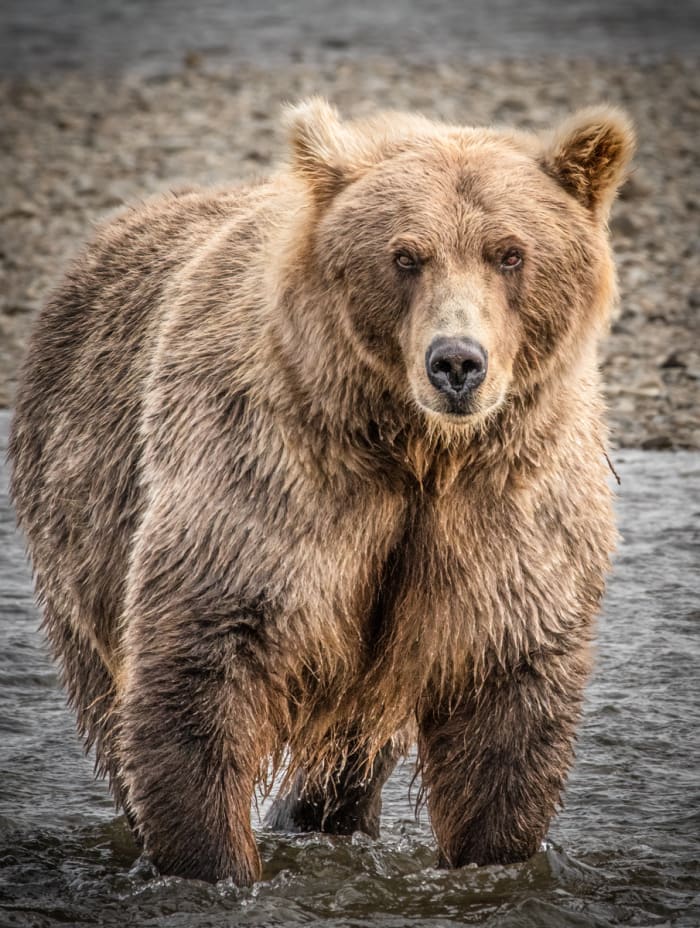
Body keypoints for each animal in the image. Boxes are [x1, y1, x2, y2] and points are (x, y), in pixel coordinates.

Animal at [9, 96, 636, 884]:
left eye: (510, 253)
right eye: (406, 256)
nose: (456, 363)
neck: (416, 449)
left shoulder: (505, 504)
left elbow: (507, 696)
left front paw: (495, 860)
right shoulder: (275, 471)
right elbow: (206, 658)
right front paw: (213, 865)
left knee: (354, 743)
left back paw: (325, 818)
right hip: (80, 515)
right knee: (106, 690)